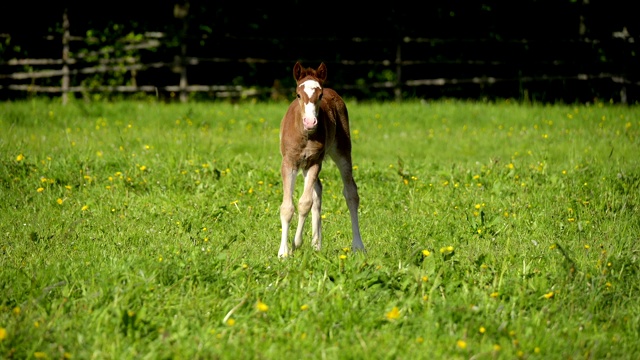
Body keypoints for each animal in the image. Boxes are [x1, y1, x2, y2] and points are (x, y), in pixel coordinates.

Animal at [276, 62, 364, 258]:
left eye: (320, 95)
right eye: (298, 94)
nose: (310, 122)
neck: (305, 135)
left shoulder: (314, 162)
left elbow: (304, 203)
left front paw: (296, 243)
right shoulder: (289, 163)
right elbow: (287, 207)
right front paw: (284, 252)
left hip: (342, 151)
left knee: (351, 192)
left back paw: (358, 246)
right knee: (318, 190)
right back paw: (316, 244)